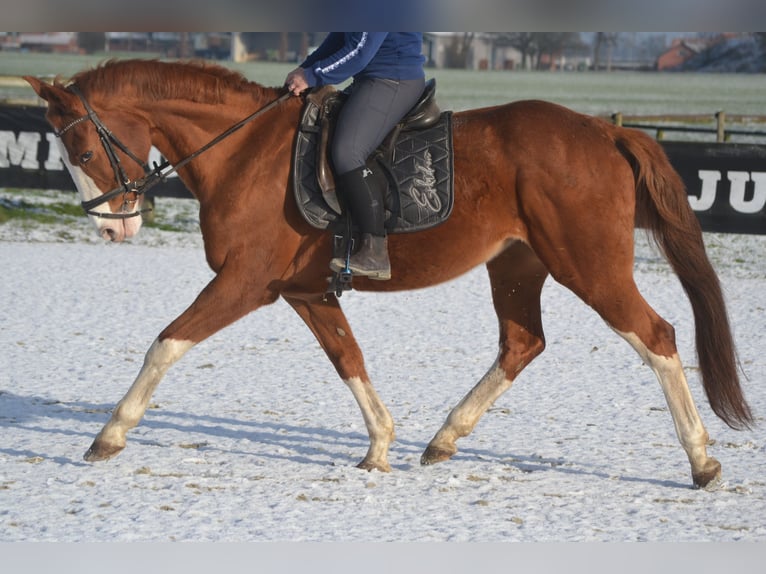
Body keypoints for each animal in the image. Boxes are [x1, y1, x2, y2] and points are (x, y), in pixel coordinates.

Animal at [22, 60, 752, 488]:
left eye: (81, 148)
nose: (112, 226)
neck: (244, 151)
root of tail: (605, 132)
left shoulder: (245, 282)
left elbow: (166, 342)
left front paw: (109, 434)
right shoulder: (305, 292)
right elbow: (349, 358)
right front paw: (380, 445)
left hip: (589, 265)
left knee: (656, 336)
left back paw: (702, 459)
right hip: (518, 265)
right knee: (523, 343)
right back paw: (444, 439)